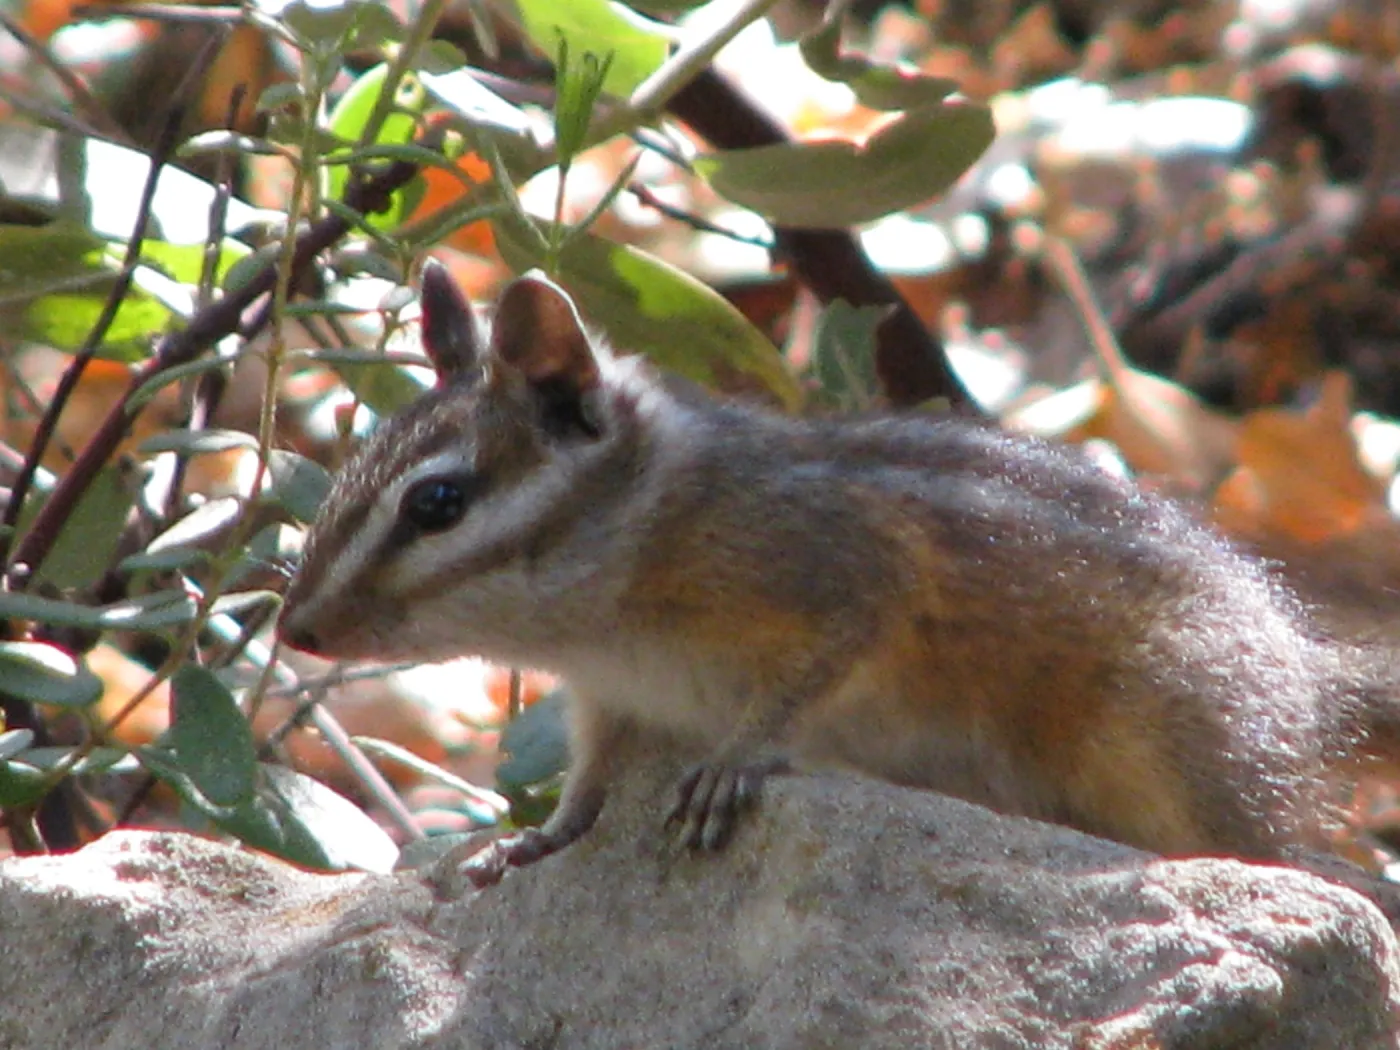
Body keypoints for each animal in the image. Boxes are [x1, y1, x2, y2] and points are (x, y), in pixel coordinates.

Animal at [278, 261, 1400, 888]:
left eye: (436, 503)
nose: (296, 631)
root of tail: (1304, 677)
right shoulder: (607, 700)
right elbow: (590, 783)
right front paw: (536, 839)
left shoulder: (838, 575)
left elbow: (822, 664)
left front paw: (730, 762)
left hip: (1165, 746)